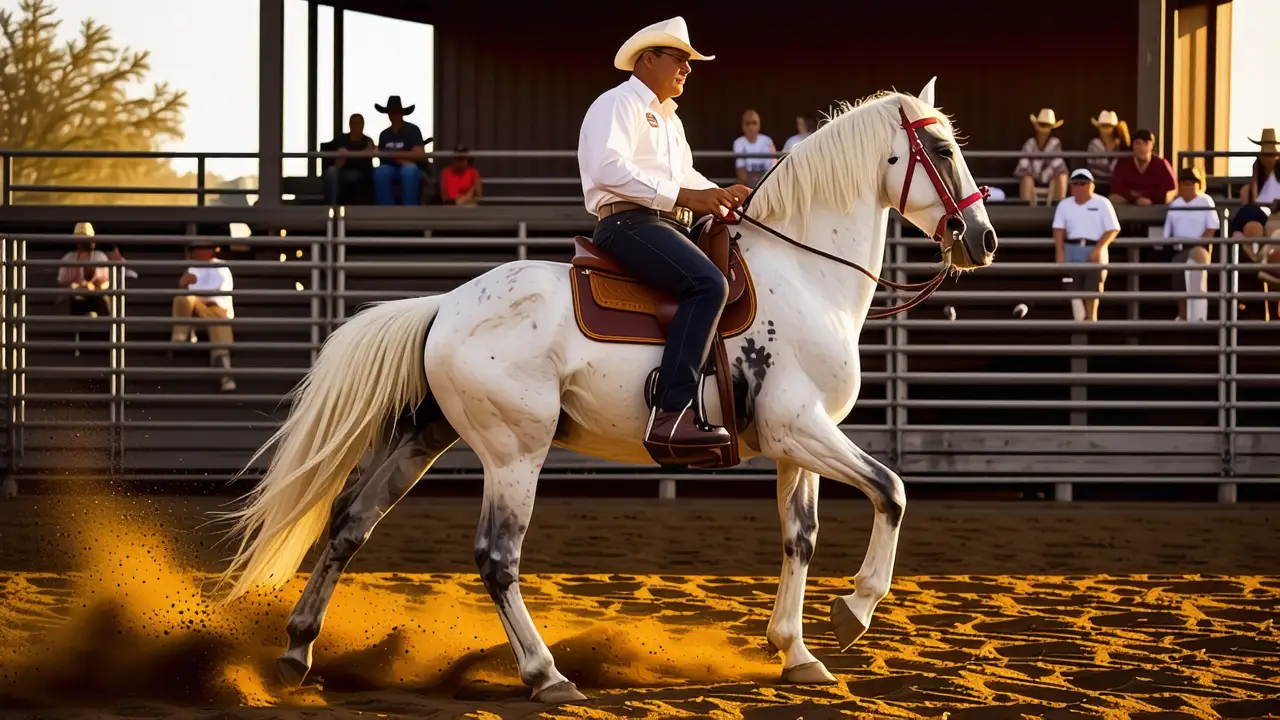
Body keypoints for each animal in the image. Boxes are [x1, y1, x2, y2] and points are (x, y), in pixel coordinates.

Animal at [217, 78, 997, 703]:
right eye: (943, 149)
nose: (983, 239)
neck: (805, 275)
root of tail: (443, 306)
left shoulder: (795, 443)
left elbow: (799, 538)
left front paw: (797, 652)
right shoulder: (800, 428)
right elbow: (892, 491)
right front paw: (854, 612)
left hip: (423, 439)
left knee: (351, 526)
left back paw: (297, 649)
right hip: (515, 452)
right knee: (496, 558)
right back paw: (546, 676)